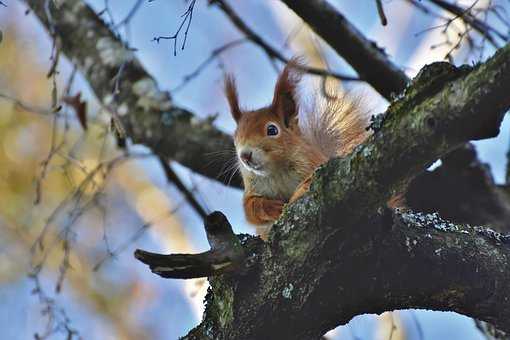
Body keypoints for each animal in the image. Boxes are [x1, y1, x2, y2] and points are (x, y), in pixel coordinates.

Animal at [225, 58, 368, 238]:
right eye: (235, 138)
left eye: (272, 130)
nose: (245, 155)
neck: (276, 171)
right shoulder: (252, 189)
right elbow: (251, 209)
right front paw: (271, 207)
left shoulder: (314, 165)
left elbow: (311, 181)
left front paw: (296, 196)